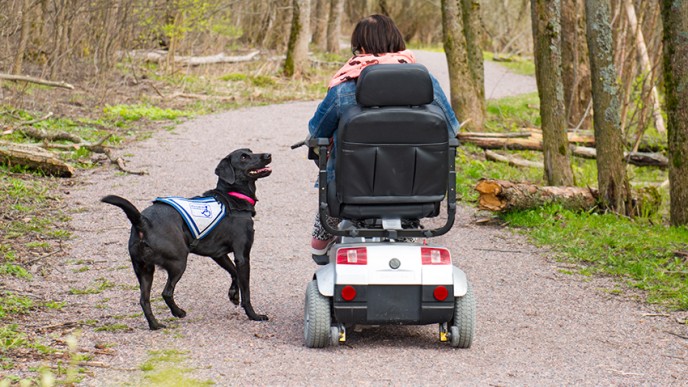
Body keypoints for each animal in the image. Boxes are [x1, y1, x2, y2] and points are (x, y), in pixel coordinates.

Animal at [101, 149, 272, 330]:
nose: (268, 155)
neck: (232, 197)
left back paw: (155, 324)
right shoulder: (242, 256)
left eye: (251, 152)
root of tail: (143, 221)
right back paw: (178, 312)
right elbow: (246, 291)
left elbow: (234, 273)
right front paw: (254, 315)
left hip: (144, 270)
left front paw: (233, 294)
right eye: (244, 157)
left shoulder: (218, 254)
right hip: (178, 263)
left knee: (144, 300)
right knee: (166, 292)